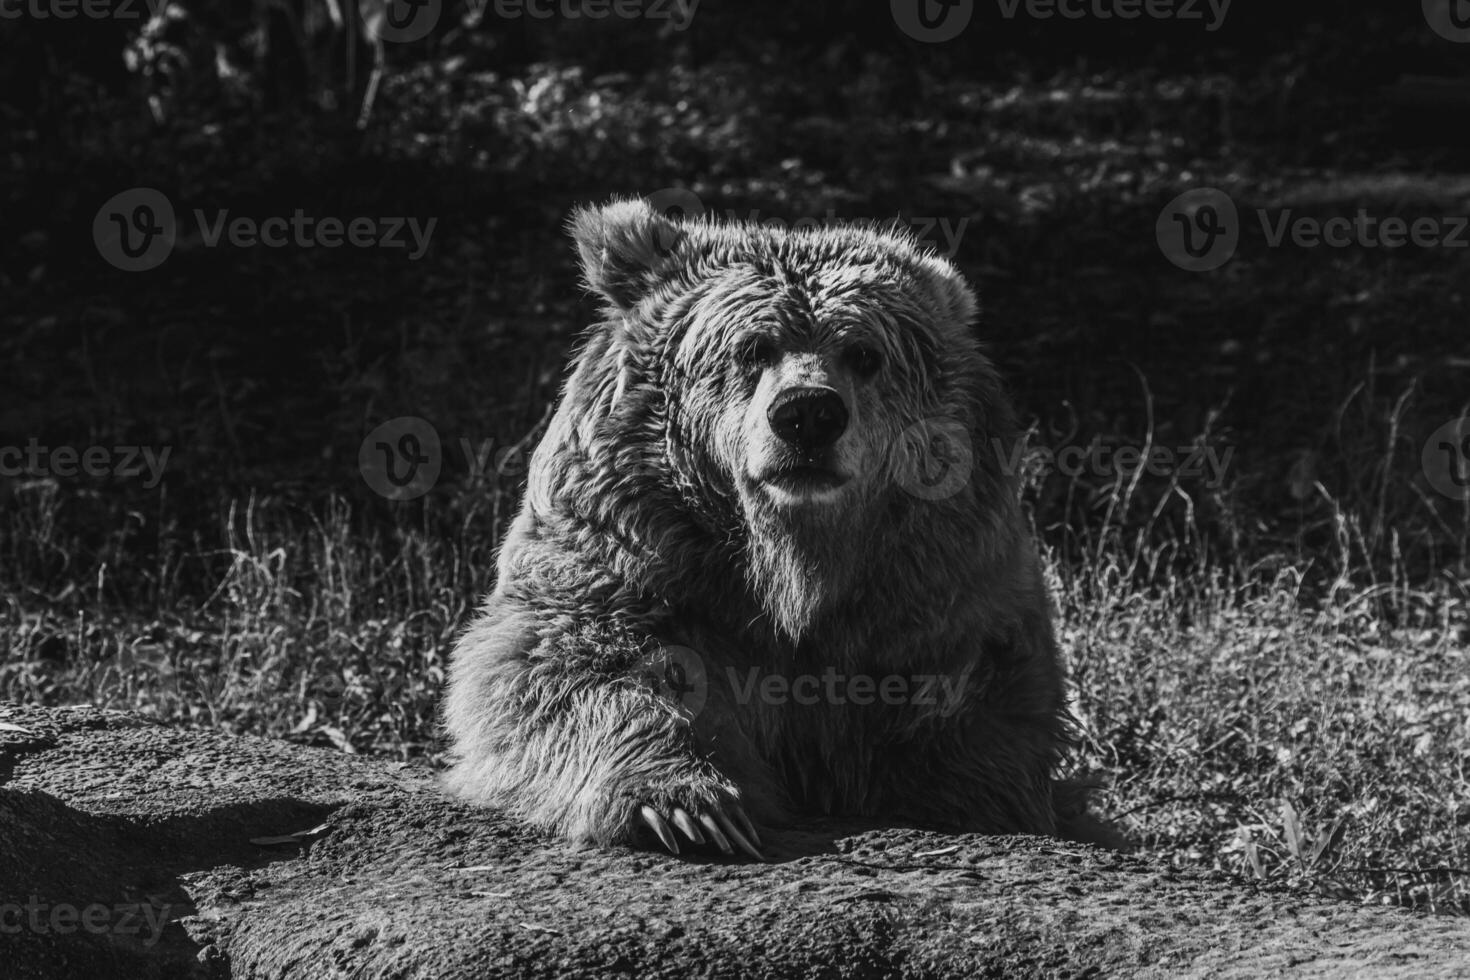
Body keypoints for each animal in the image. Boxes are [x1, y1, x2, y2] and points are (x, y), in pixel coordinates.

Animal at [441, 199, 1076, 858]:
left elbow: (977, 728)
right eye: (753, 348)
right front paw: (686, 807)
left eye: (864, 353)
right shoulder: (634, 553)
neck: (791, 562)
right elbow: (571, 664)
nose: (808, 413)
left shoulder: (931, 593)